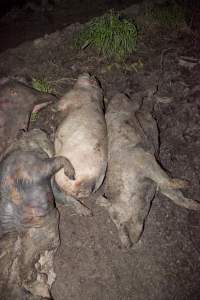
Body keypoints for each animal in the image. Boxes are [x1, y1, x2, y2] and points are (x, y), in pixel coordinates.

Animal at [97, 94, 200, 248]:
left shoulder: (145, 160)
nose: (127, 246)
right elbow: (175, 195)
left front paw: (187, 184)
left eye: (120, 223)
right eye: (116, 224)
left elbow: (168, 182)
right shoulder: (157, 184)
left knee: (142, 100)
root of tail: (118, 95)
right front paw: (196, 205)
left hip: (129, 104)